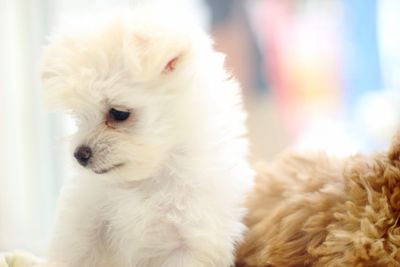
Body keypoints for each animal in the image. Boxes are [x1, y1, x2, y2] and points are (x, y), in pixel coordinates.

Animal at [40, 6, 253, 267]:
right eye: (78, 116)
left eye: (119, 113)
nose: (79, 154)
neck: (146, 180)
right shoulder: (86, 224)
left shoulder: (191, 239)